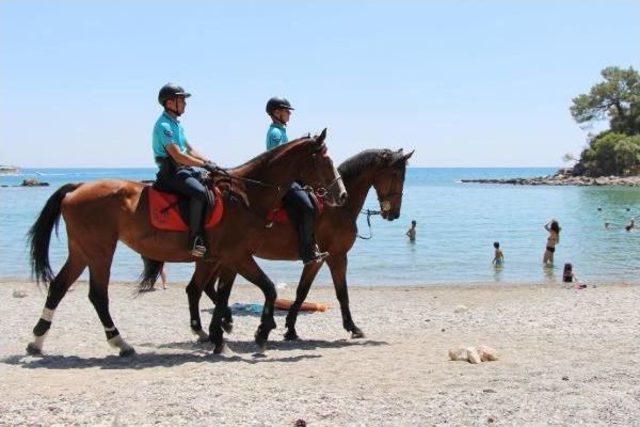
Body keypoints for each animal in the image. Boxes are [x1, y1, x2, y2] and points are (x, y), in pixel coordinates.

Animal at [26, 131, 344, 358]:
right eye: (324, 161)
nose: (340, 195)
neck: (246, 196)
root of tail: (77, 188)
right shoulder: (239, 256)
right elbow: (266, 289)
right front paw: (260, 334)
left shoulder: (228, 258)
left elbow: (222, 295)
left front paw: (219, 337)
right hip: (100, 251)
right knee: (98, 295)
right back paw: (120, 342)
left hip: (82, 250)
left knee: (59, 286)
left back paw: (38, 341)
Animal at [162, 147, 412, 352]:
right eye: (397, 175)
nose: (395, 213)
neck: (338, 208)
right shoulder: (335, 257)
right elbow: (340, 293)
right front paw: (352, 327)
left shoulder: (318, 258)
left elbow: (302, 291)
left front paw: (290, 329)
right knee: (201, 289)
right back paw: (219, 324)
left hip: (219, 258)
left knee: (202, 288)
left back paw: (221, 323)